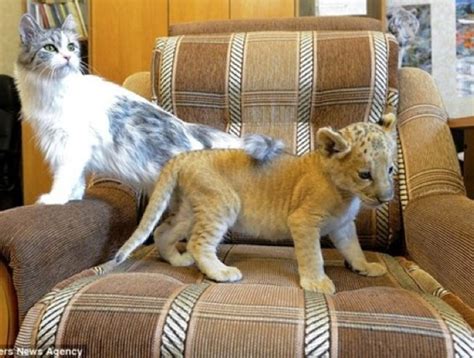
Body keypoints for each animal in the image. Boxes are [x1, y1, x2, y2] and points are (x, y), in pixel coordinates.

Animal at [14, 15, 282, 204]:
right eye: (50, 48)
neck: (49, 90)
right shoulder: (68, 147)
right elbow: (77, 179)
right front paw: (73, 198)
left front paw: (55, 199)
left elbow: (64, 176)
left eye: (71, 47)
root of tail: (190, 129)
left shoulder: (71, 144)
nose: (68, 58)